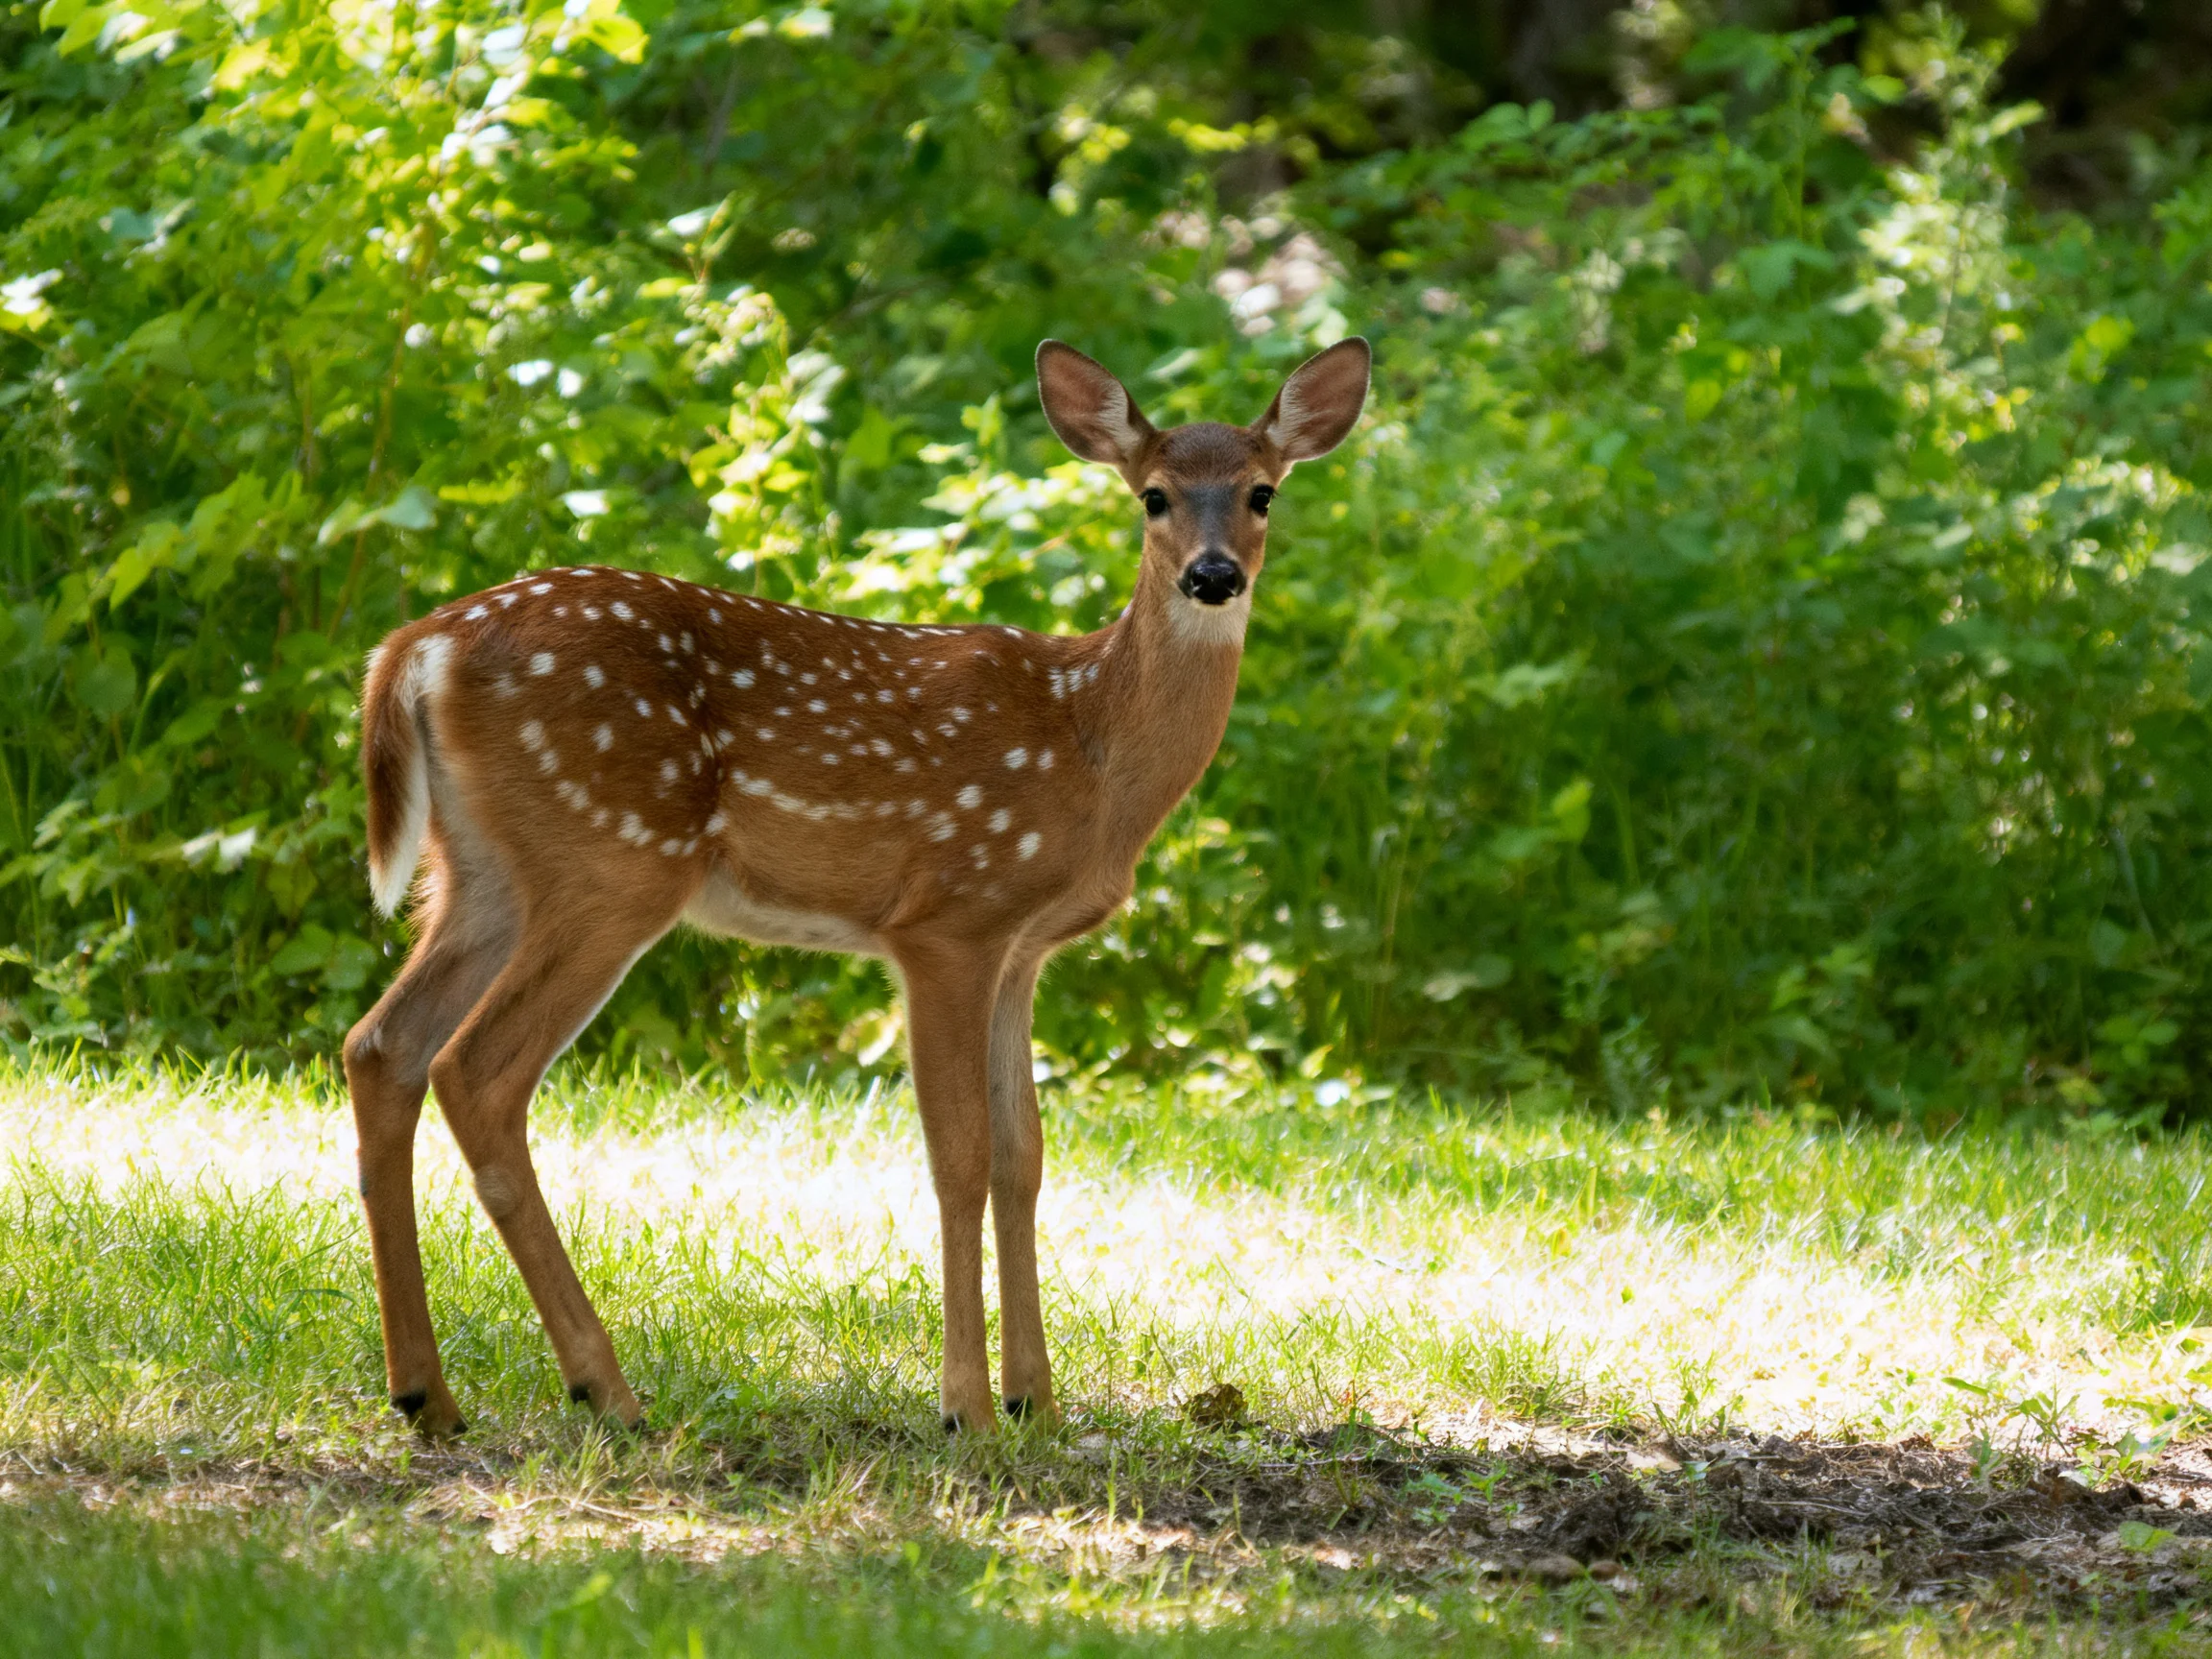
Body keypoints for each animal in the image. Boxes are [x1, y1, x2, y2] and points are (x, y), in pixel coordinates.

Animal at [340, 336, 1371, 1437]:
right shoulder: (947, 921)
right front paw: (966, 1410)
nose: (1213, 575)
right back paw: (604, 1388)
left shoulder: (1022, 950)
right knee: (476, 1070)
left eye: (1262, 491)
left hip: (482, 873)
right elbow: (960, 1155)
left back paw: (426, 1393)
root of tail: (416, 649)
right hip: (610, 862)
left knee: (383, 1046)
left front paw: (1037, 1405)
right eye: (1155, 496)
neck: (1091, 747)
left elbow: (1024, 1156)